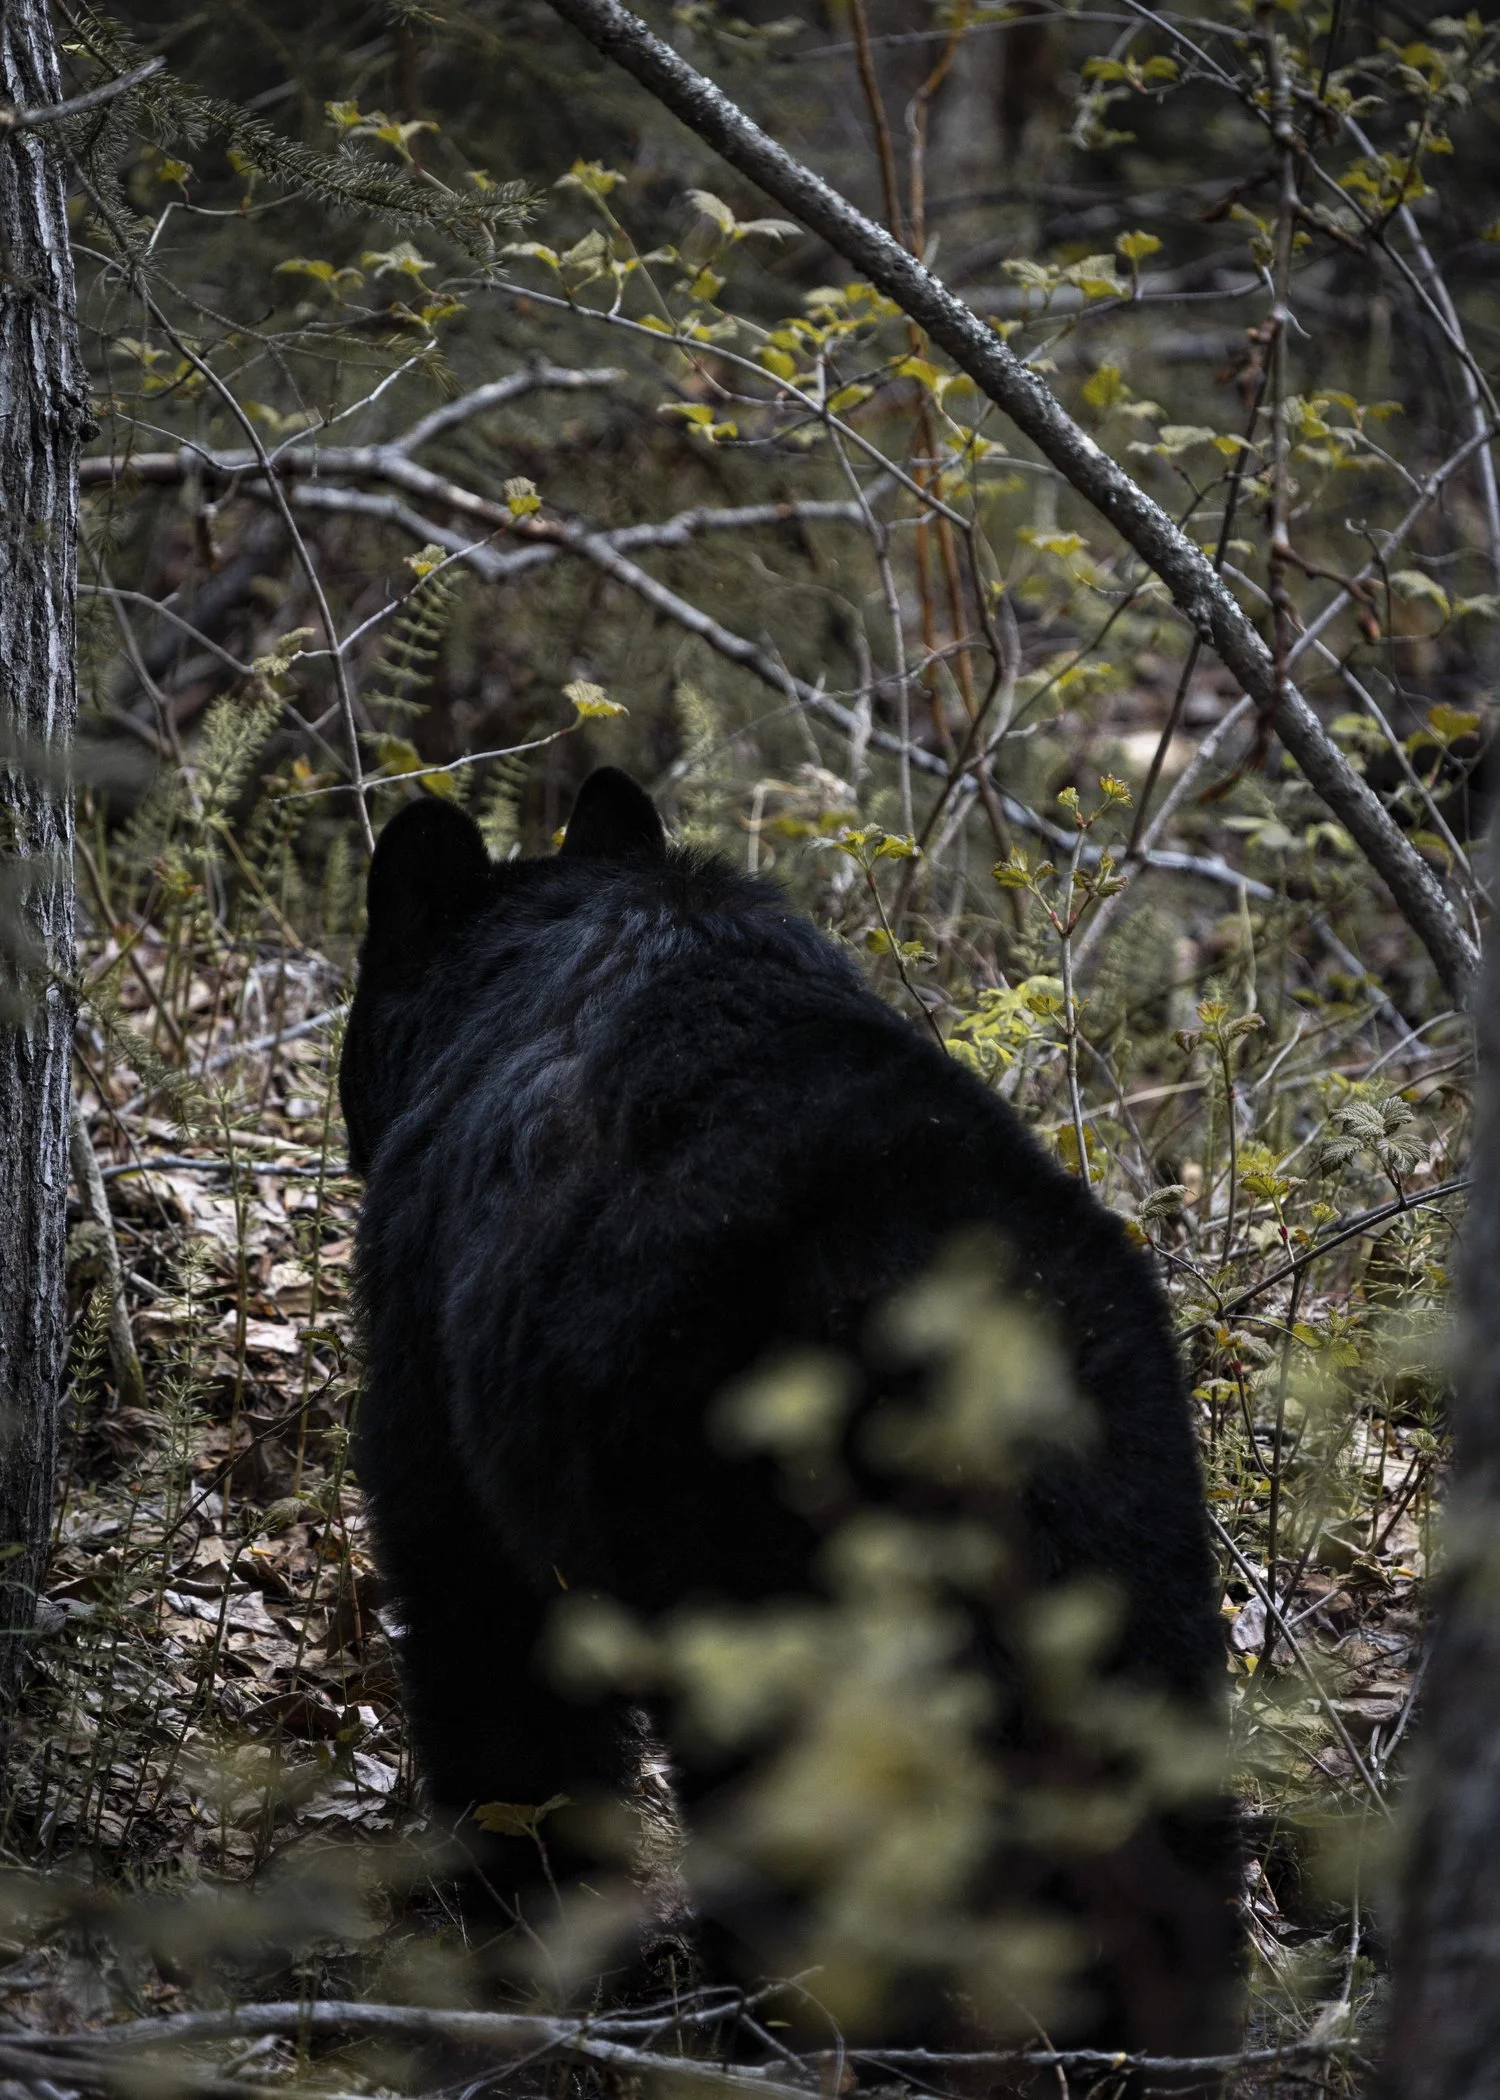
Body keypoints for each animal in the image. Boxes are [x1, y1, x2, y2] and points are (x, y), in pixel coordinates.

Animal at [339, 767, 1241, 2053]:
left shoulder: (443, 1371)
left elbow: (489, 1640)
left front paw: (515, 1917)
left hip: (772, 1568)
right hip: (1126, 1523)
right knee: (1145, 1785)